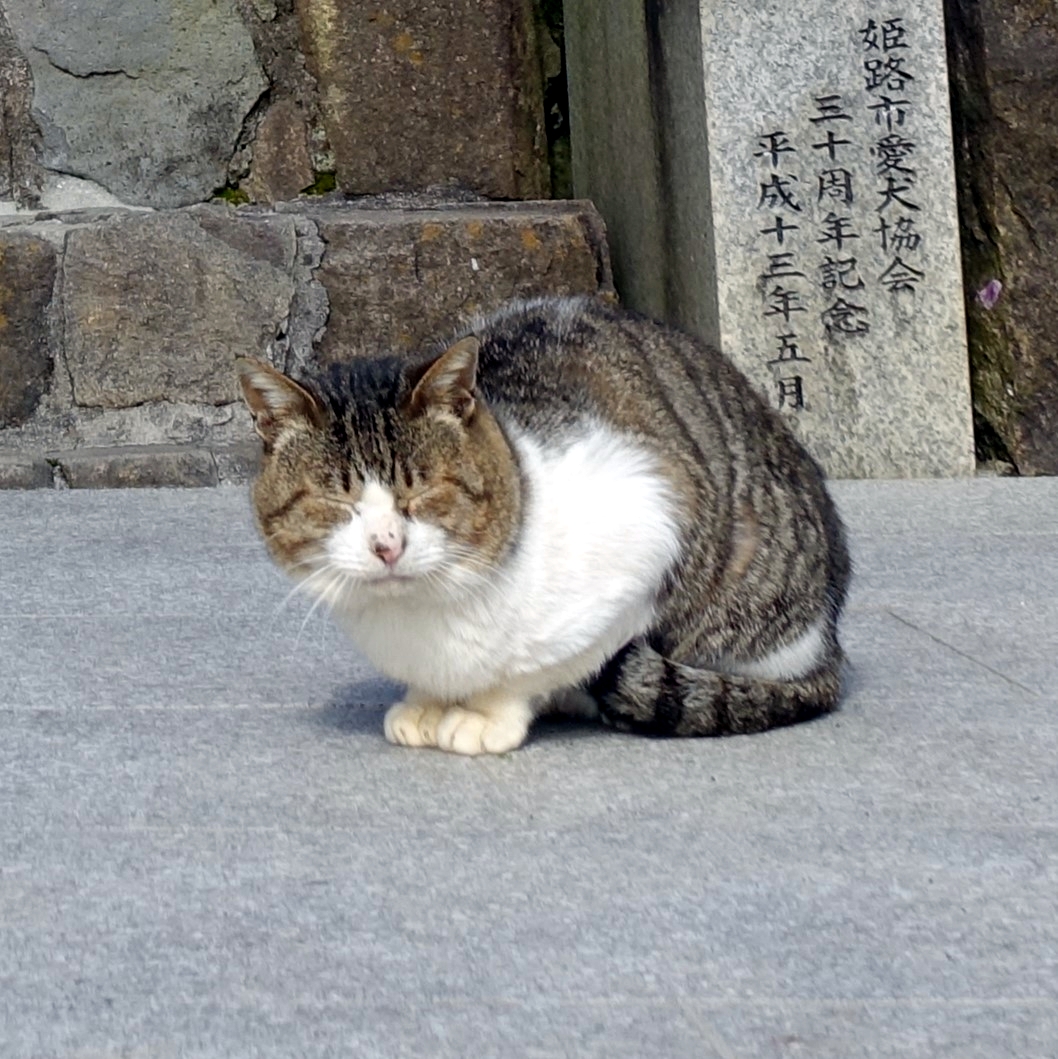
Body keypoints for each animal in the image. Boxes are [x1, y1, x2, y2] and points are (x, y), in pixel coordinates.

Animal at [238, 294, 851, 754]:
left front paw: (487, 714)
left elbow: (536, 668)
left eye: (422, 490)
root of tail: (830, 650)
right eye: (335, 500)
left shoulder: (653, 526)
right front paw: (426, 702)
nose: (386, 545)